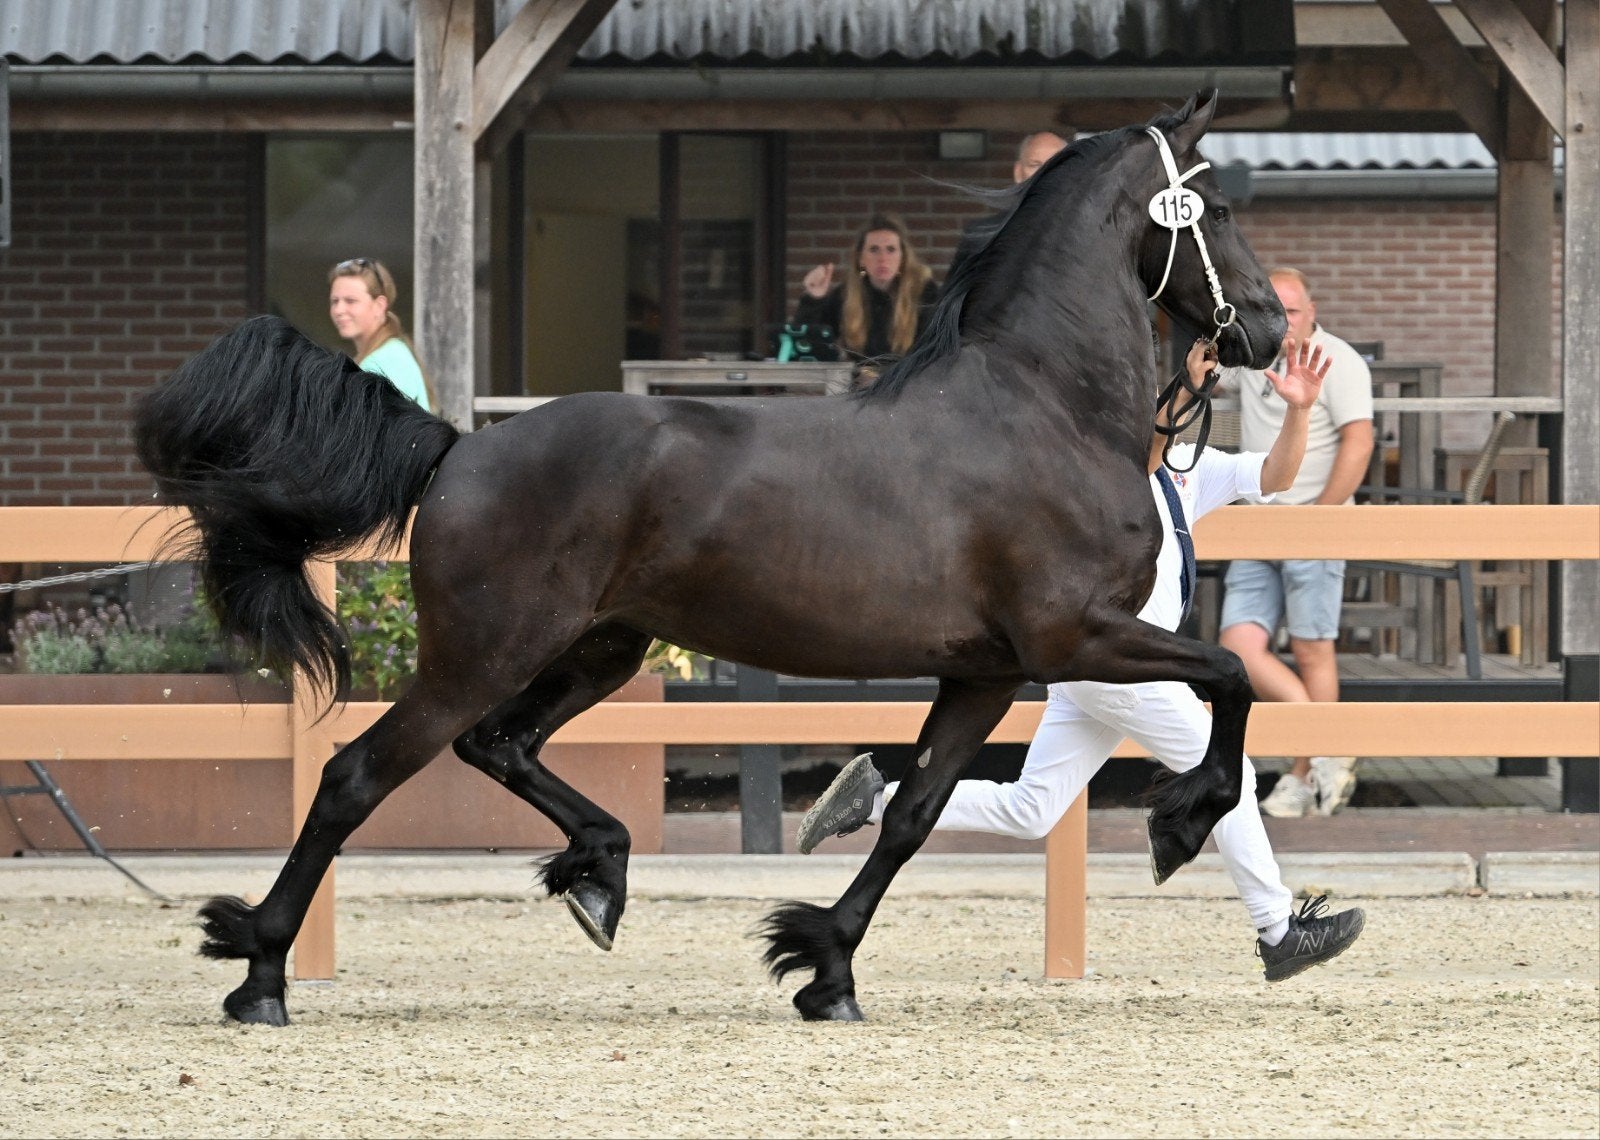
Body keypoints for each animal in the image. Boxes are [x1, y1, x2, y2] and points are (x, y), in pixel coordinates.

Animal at [135, 91, 1284, 1027]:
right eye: (1220, 211)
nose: (1270, 330)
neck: (1044, 406)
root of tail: (460, 446)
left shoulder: (989, 670)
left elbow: (911, 814)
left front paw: (822, 966)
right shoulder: (1076, 634)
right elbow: (1230, 678)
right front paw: (1181, 822)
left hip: (601, 649)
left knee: (497, 746)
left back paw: (599, 873)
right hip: (483, 654)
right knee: (356, 777)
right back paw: (261, 973)